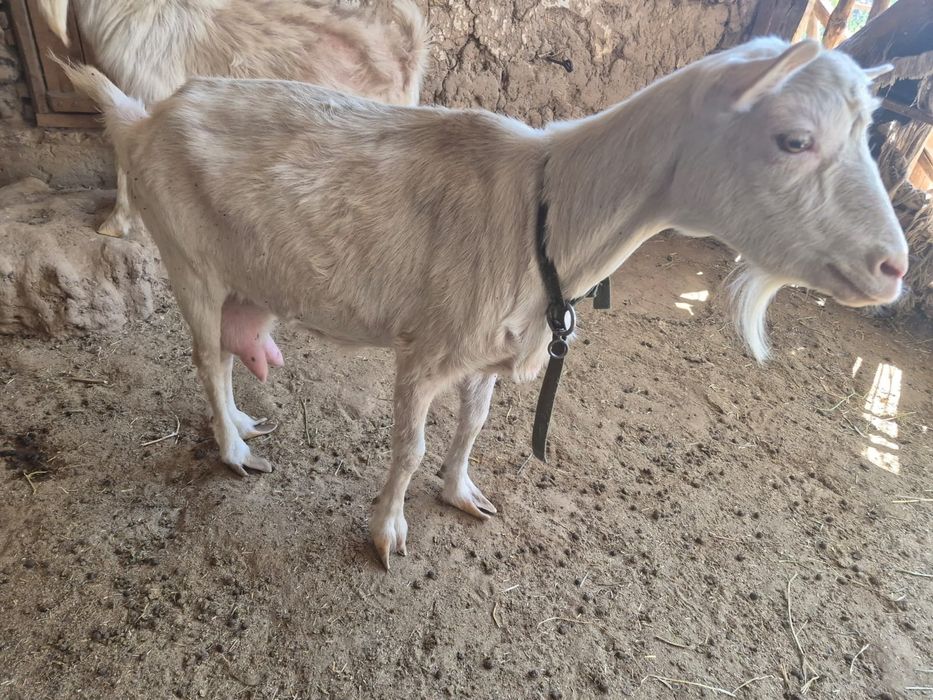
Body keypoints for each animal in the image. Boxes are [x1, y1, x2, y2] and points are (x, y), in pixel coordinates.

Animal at [60, 37, 908, 569]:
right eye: (792, 139)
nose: (893, 267)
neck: (546, 210)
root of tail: (144, 117)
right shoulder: (425, 350)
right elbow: (408, 446)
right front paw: (388, 531)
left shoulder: (489, 351)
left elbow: (472, 427)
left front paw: (461, 495)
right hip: (189, 258)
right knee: (206, 357)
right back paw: (234, 450)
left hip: (247, 276)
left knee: (234, 352)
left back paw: (239, 422)